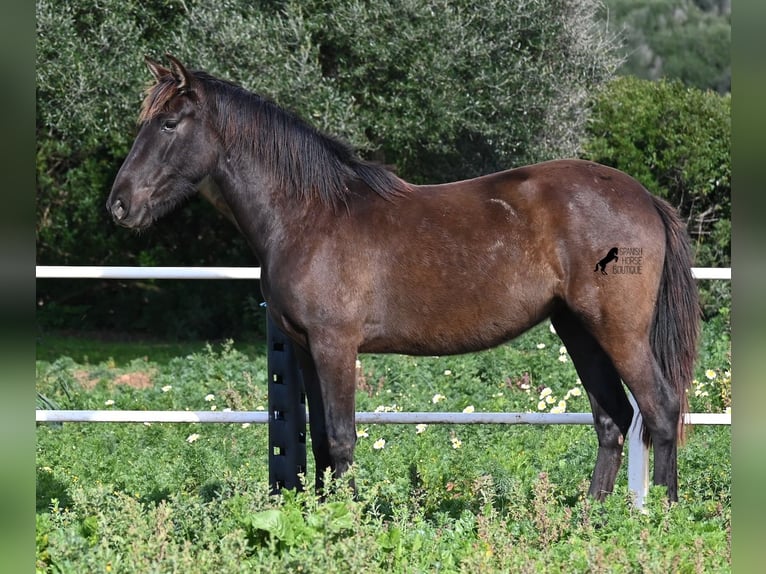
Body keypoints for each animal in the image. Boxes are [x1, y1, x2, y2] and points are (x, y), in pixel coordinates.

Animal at [108, 55, 704, 504]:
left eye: (168, 124)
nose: (119, 205)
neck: (309, 215)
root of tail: (644, 197)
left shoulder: (334, 345)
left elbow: (341, 437)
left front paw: (348, 523)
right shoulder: (303, 347)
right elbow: (319, 439)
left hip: (618, 332)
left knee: (660, 410)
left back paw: (662, 515)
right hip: (577, 329)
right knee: (612, 418)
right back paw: (589, 519)